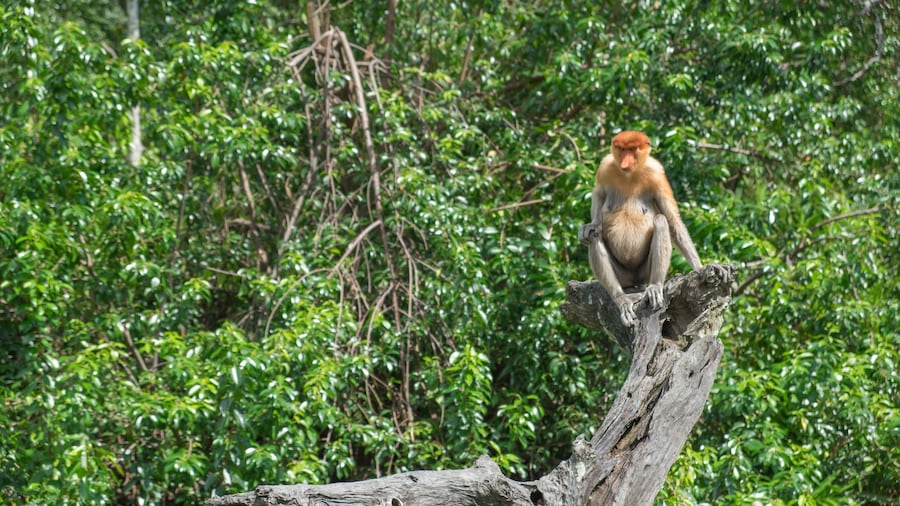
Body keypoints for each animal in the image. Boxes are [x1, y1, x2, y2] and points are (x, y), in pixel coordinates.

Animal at [578, 130, 705, 326]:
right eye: (622, 150)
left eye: (632, 149)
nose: (625, 162)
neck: (629, 175)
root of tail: (635, 278)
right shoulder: (605, 166)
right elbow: (598, 193)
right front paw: (591, 225)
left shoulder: (657, 174)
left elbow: (673, 221)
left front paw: (700, 268)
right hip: (623, 276)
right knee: (595, 236)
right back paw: (621, 299)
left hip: (645, 271)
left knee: (661, 221)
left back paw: (655, 287)